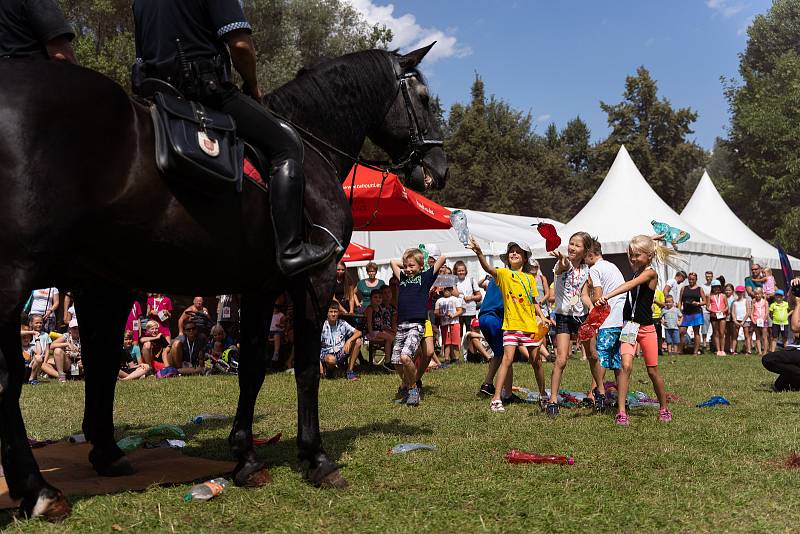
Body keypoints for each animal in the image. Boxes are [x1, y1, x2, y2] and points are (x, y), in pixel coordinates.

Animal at [0, 44, 446, 520]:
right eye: (422, 97)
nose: (439, 169)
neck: (309, 147)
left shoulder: (258, 287)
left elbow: (250, 368)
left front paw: (246, 457)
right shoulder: (314, 277)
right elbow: (307, 367)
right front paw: (315, 458)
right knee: (12, 379)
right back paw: (39, 490)